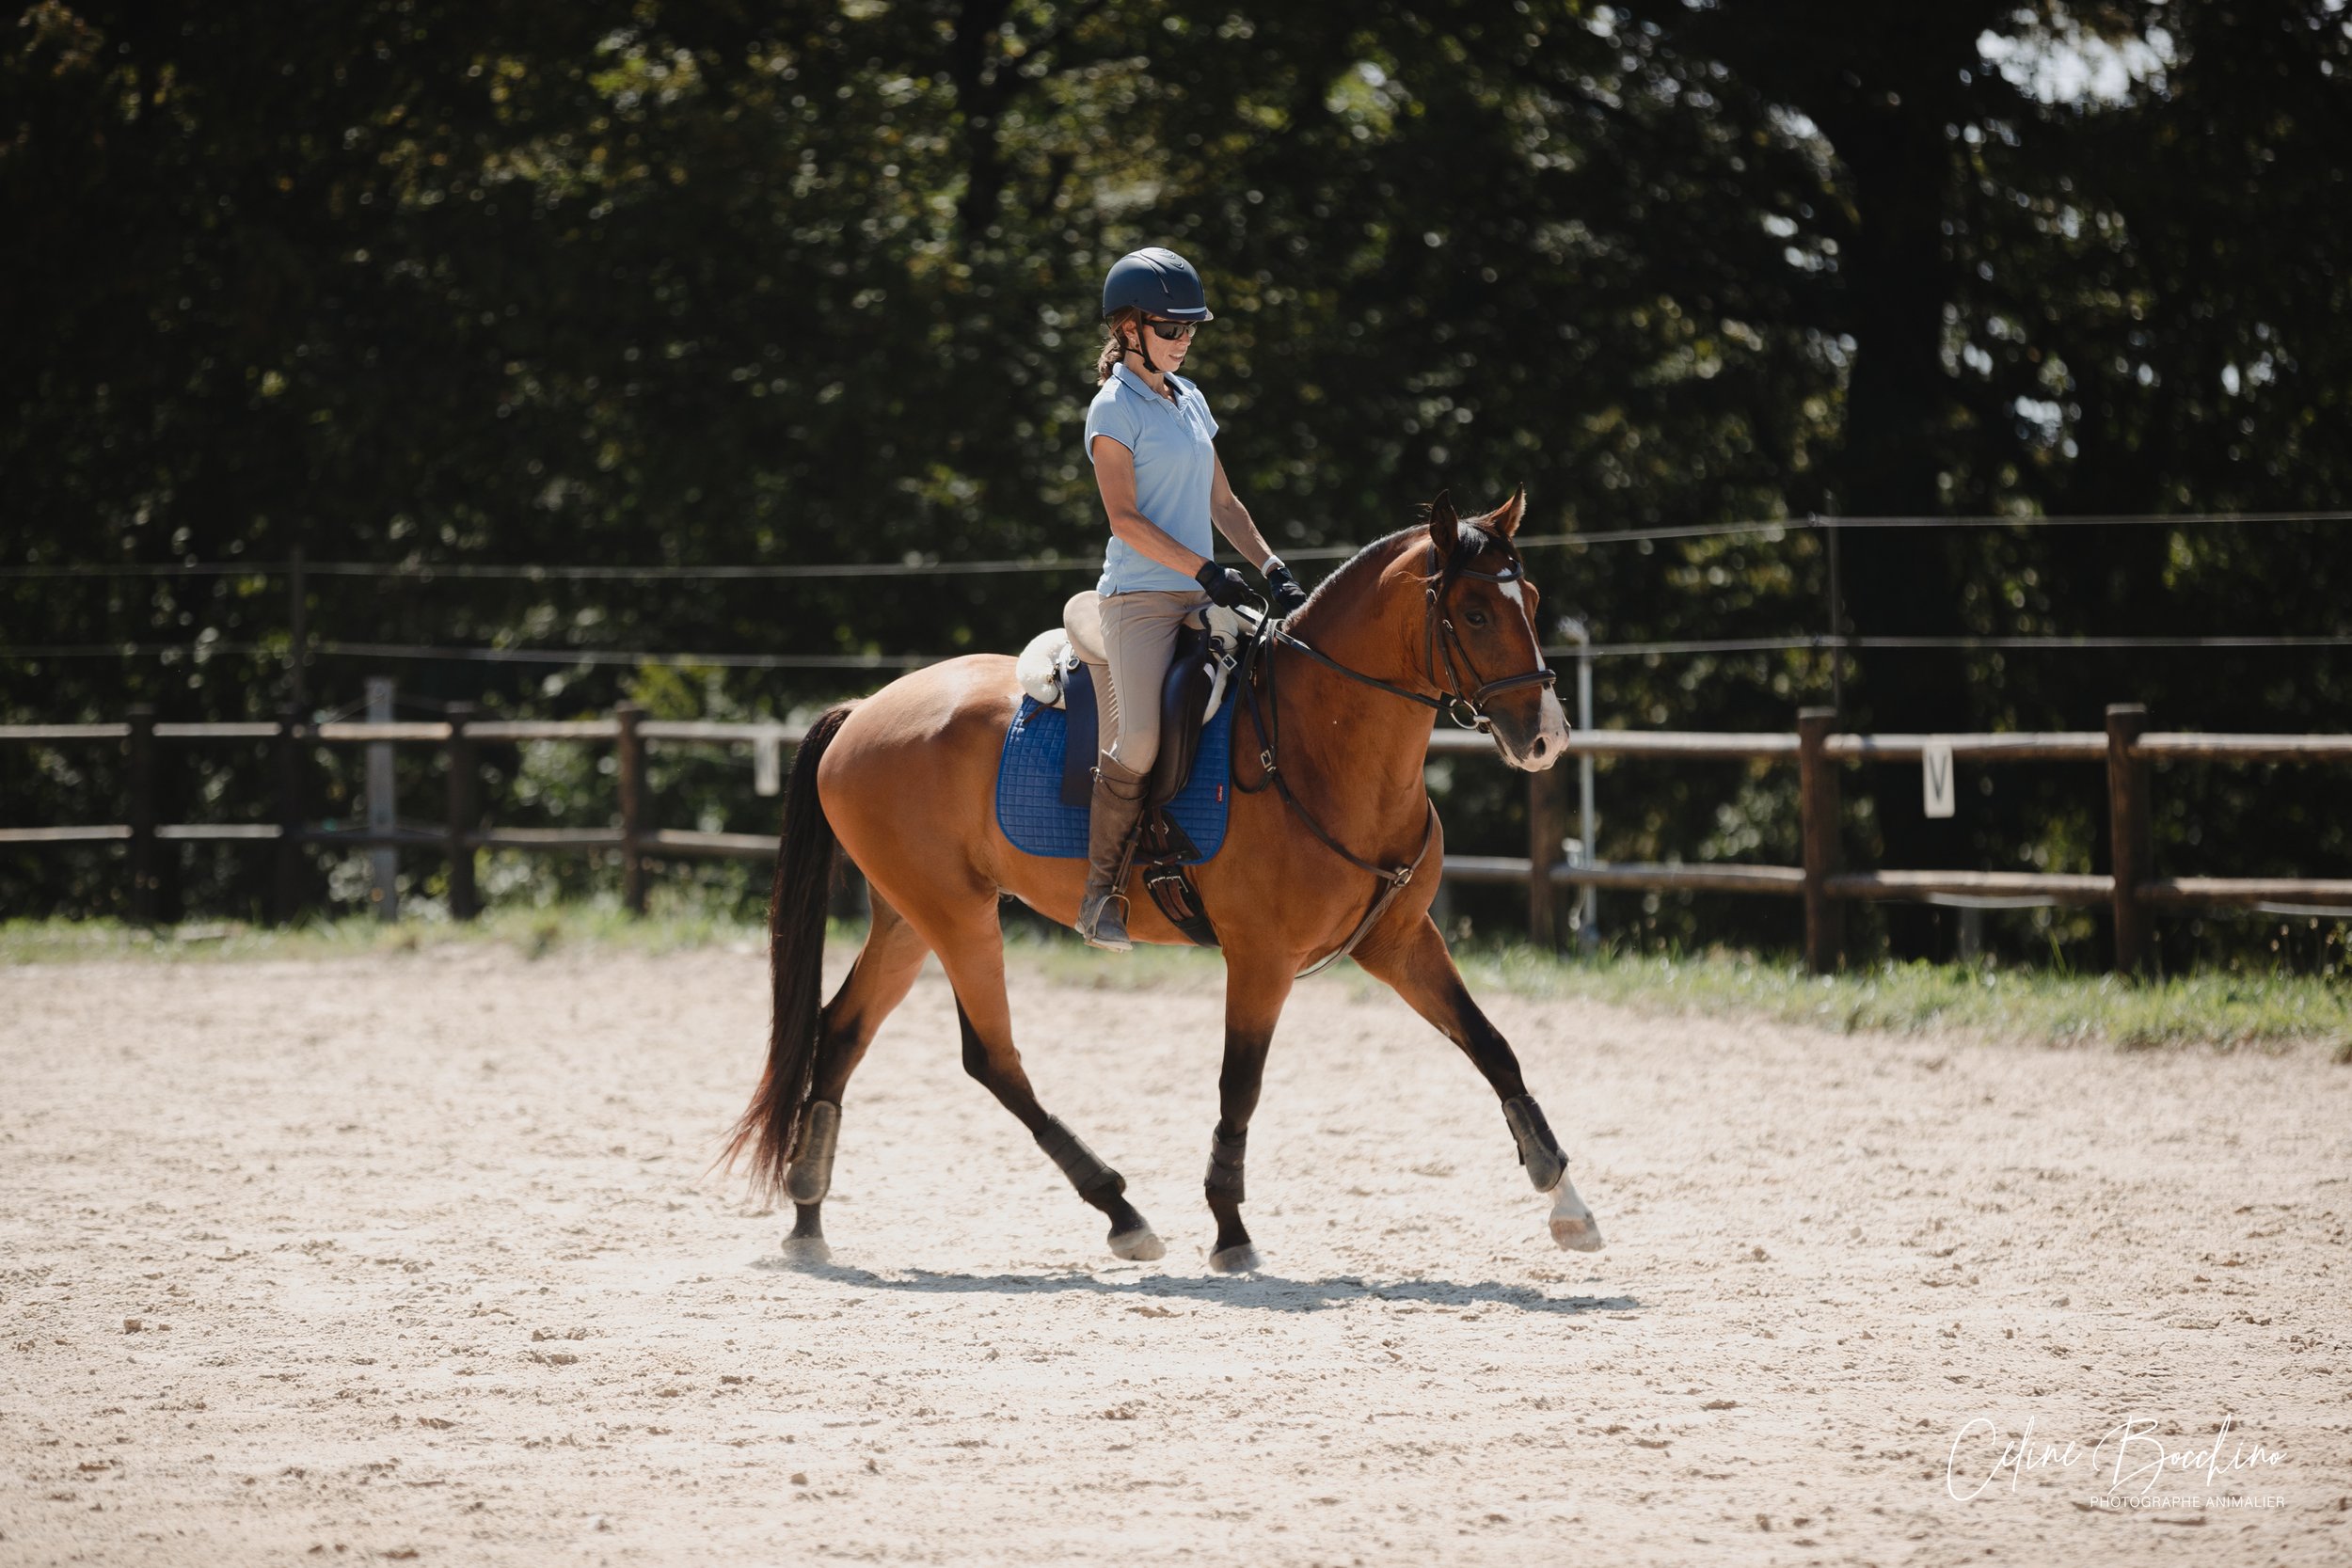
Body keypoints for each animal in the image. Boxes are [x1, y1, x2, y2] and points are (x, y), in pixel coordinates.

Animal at [722, 489, 1605, 1271]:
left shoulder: (1399, 939)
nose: (1546, 738)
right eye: (1476, 612)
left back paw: (807, 1218)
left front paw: (1565, 1199)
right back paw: (1121, 1210)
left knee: (840, 1032)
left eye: (1529, 598)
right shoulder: (1260, 959)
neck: (1320, 746)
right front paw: (1231, 1231)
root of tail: (864, 709)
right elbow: (1239, 1087)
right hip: (956, 915)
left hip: (907, 917)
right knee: (991, 1057)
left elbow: (1493, 1048)